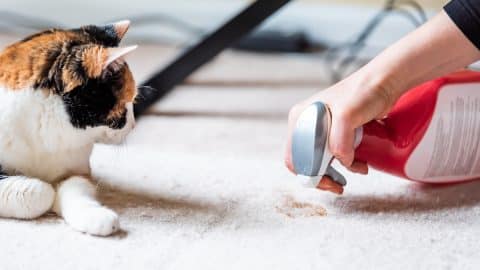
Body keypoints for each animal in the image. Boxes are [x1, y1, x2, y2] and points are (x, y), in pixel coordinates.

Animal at [0, 20, 137, 236]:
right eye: (125, 105)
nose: (133, 124)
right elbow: (40, 192)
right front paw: (46, 191)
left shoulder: (77, 170)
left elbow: (75, 189)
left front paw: (97, 217)